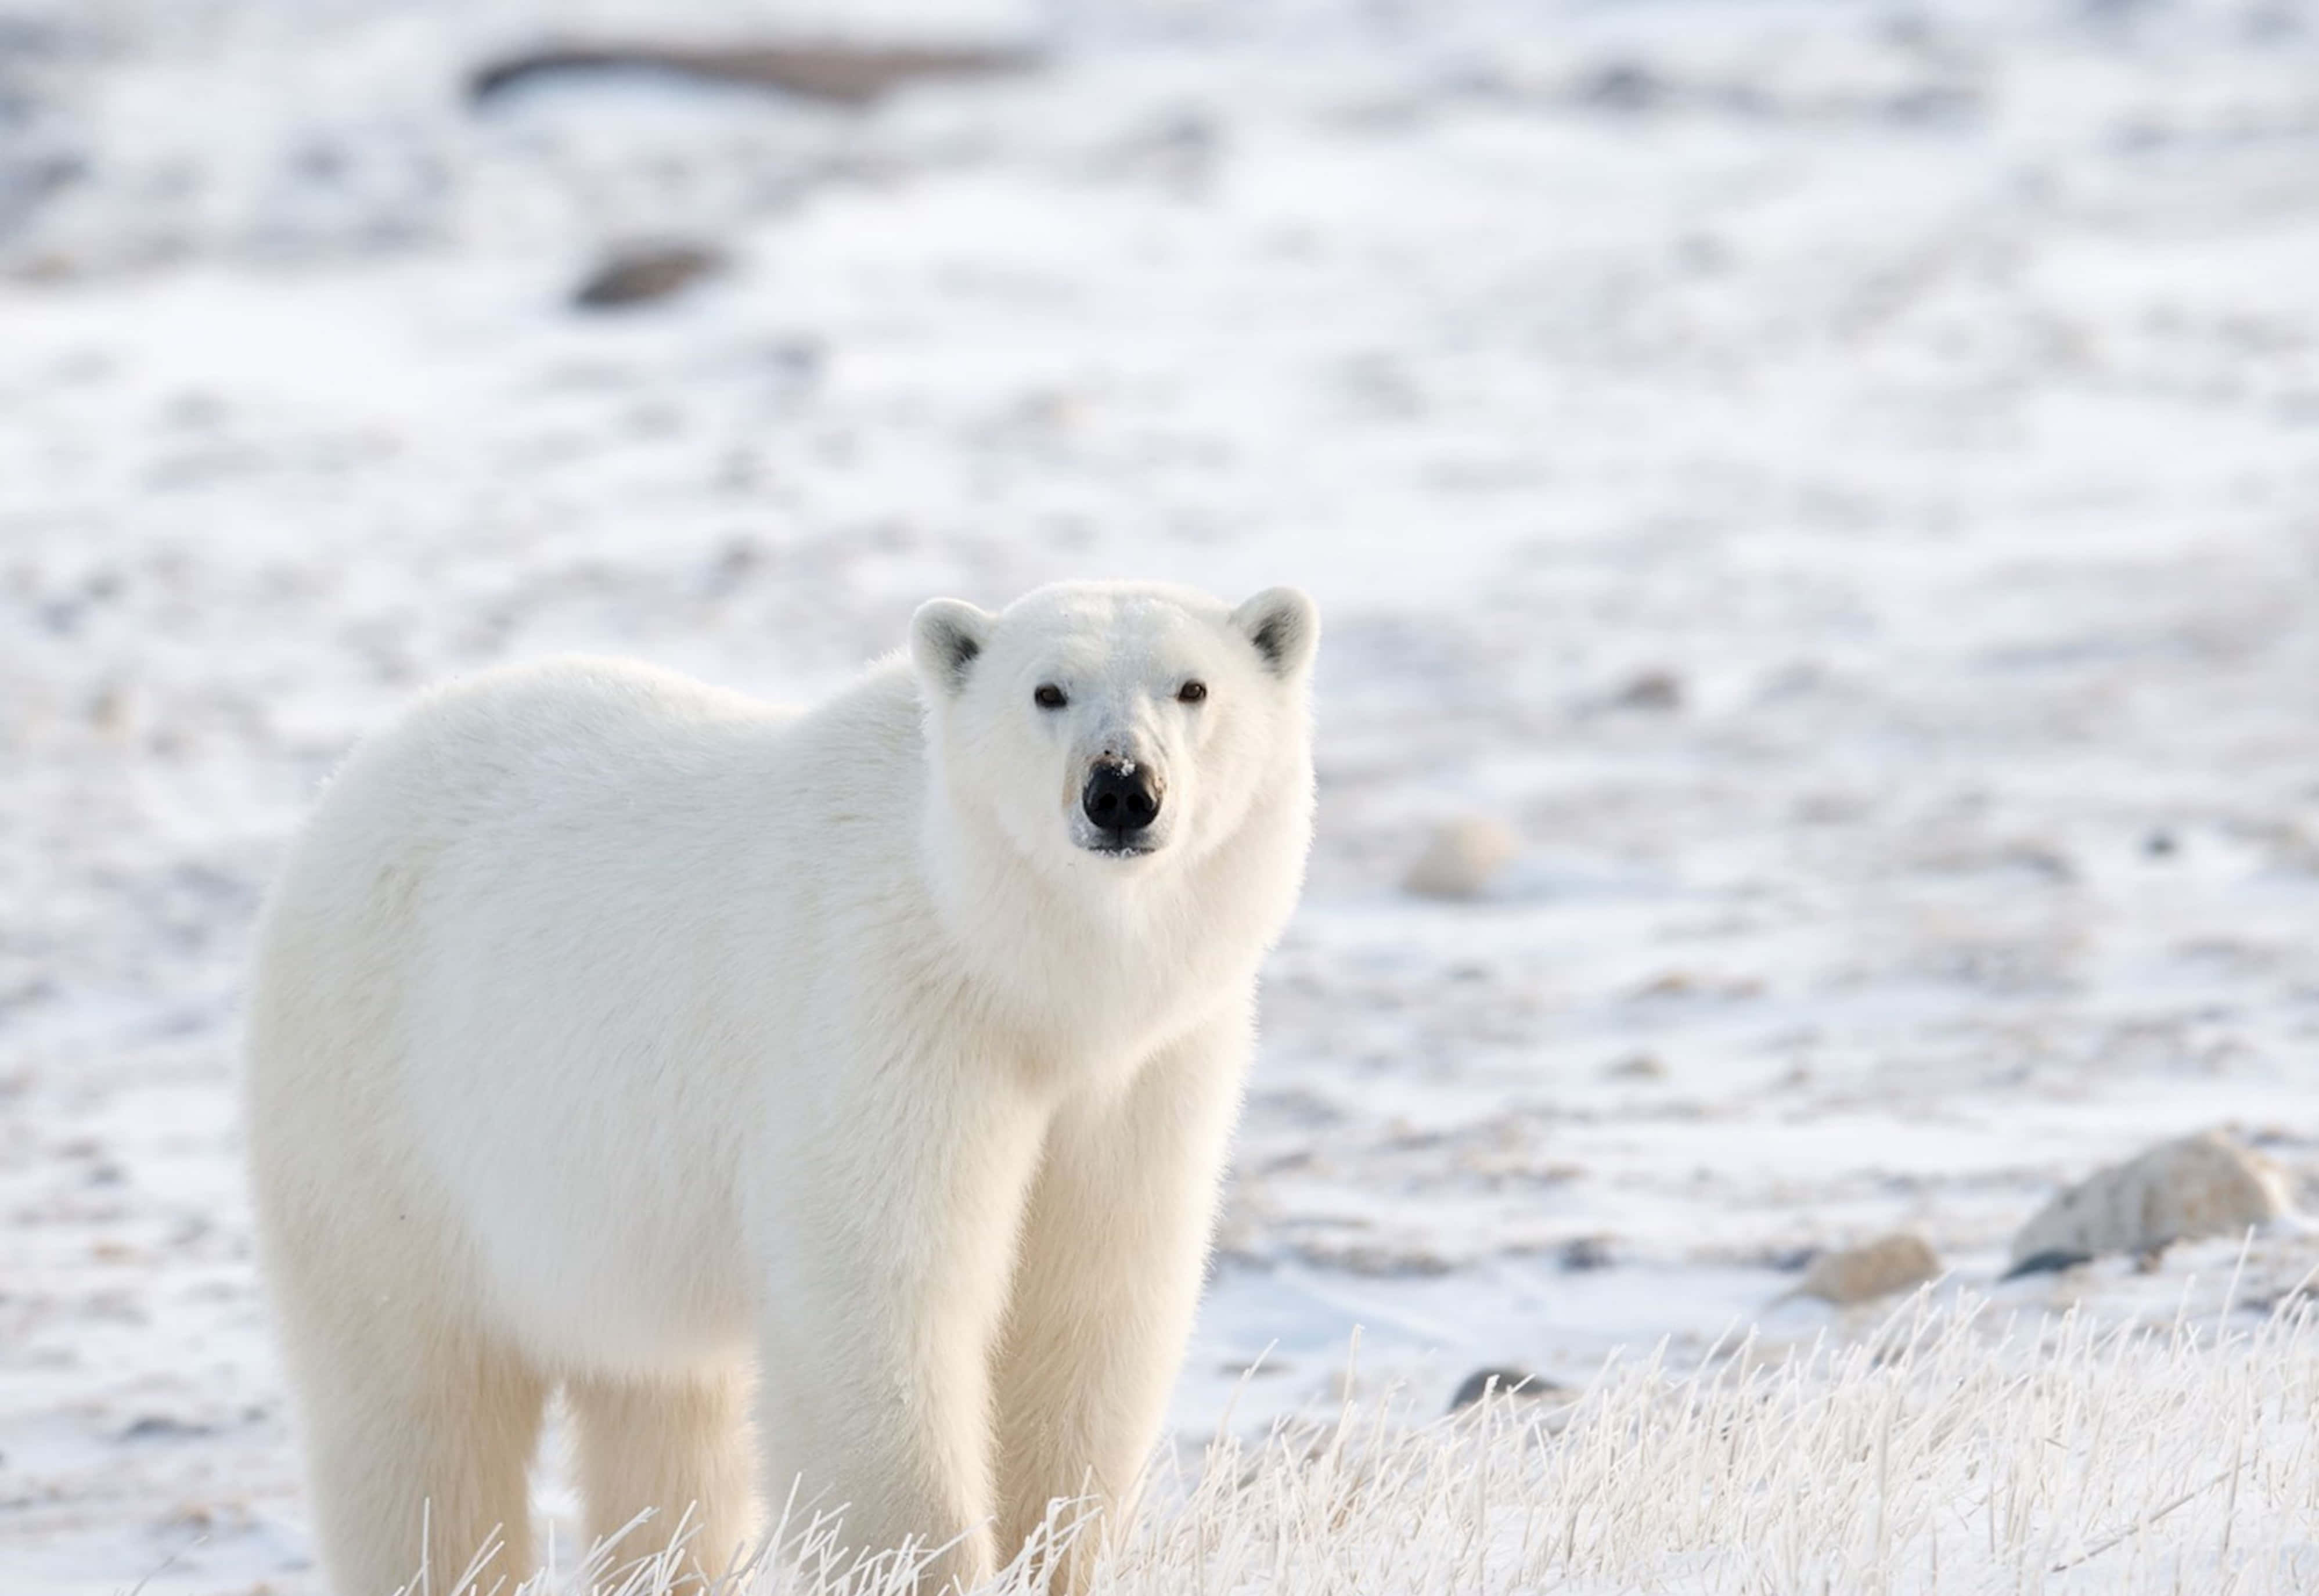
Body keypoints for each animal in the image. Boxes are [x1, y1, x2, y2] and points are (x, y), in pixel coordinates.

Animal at [242, 580, 1320, 1594]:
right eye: (1046, 690)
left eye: (1193, 687)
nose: (1122, 788)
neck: (1017, 974)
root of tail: (353, 778)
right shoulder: (884, 1017)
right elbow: (880, 1303)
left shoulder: (1143, 1071)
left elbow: (1088, 1306)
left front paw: (1053, 1552)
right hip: (384, 1127)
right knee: (417, 1417)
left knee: (664, 1421)